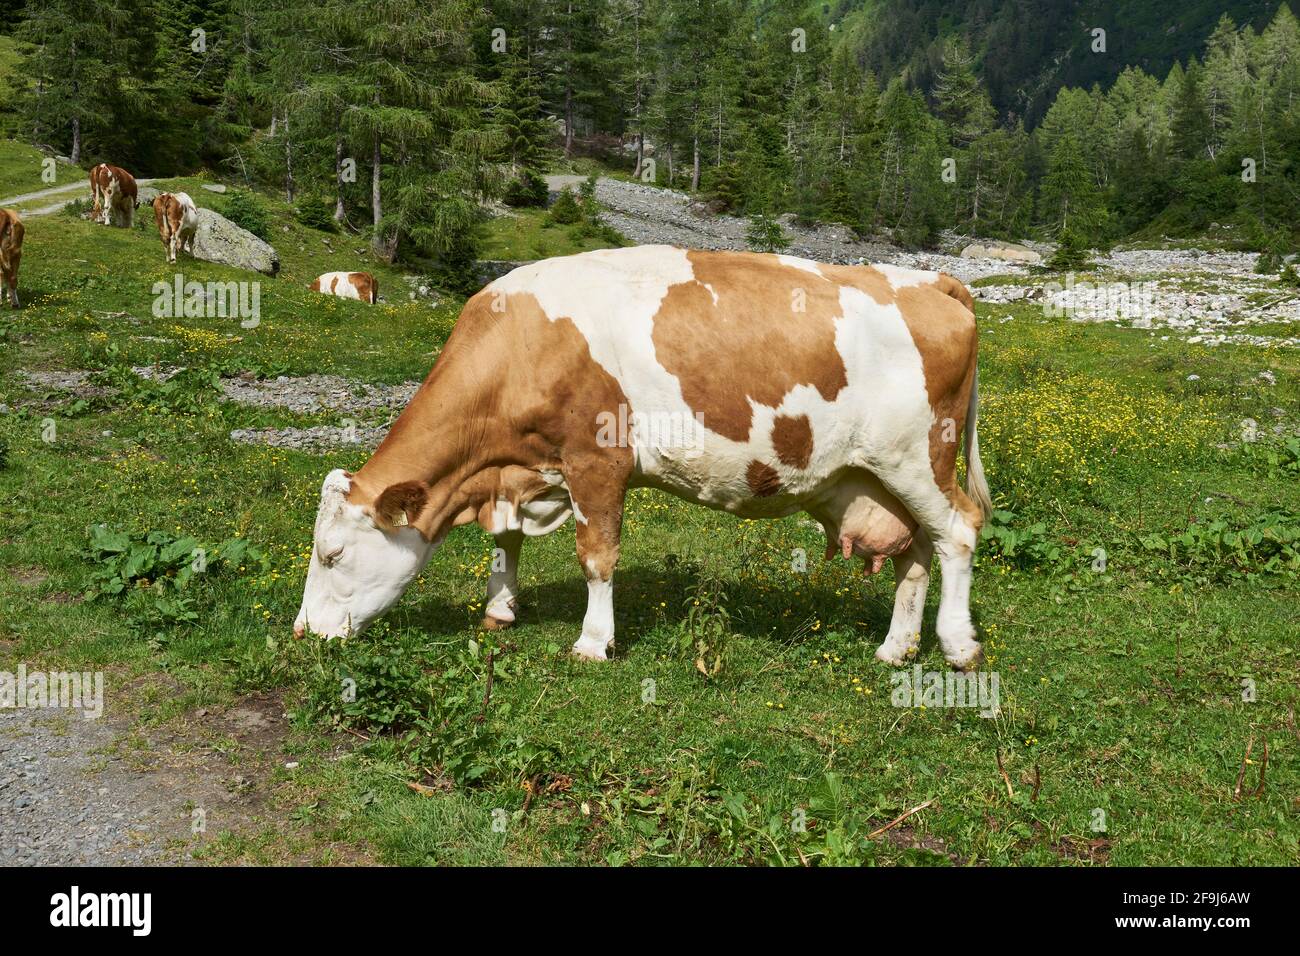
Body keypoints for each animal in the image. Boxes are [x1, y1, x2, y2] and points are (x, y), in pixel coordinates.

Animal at [295, 243, 987, 671]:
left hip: (918, 458)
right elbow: (506, 541)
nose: (304, 634)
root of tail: (929, 280)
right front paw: (500, 608)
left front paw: (593, 642)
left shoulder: (596, 460)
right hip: (878, 476)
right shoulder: (520, 470)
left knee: (957, 532)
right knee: (915, 553)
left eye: (332, 555)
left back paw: (957, 646)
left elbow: (597, 557)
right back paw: (896, 648)